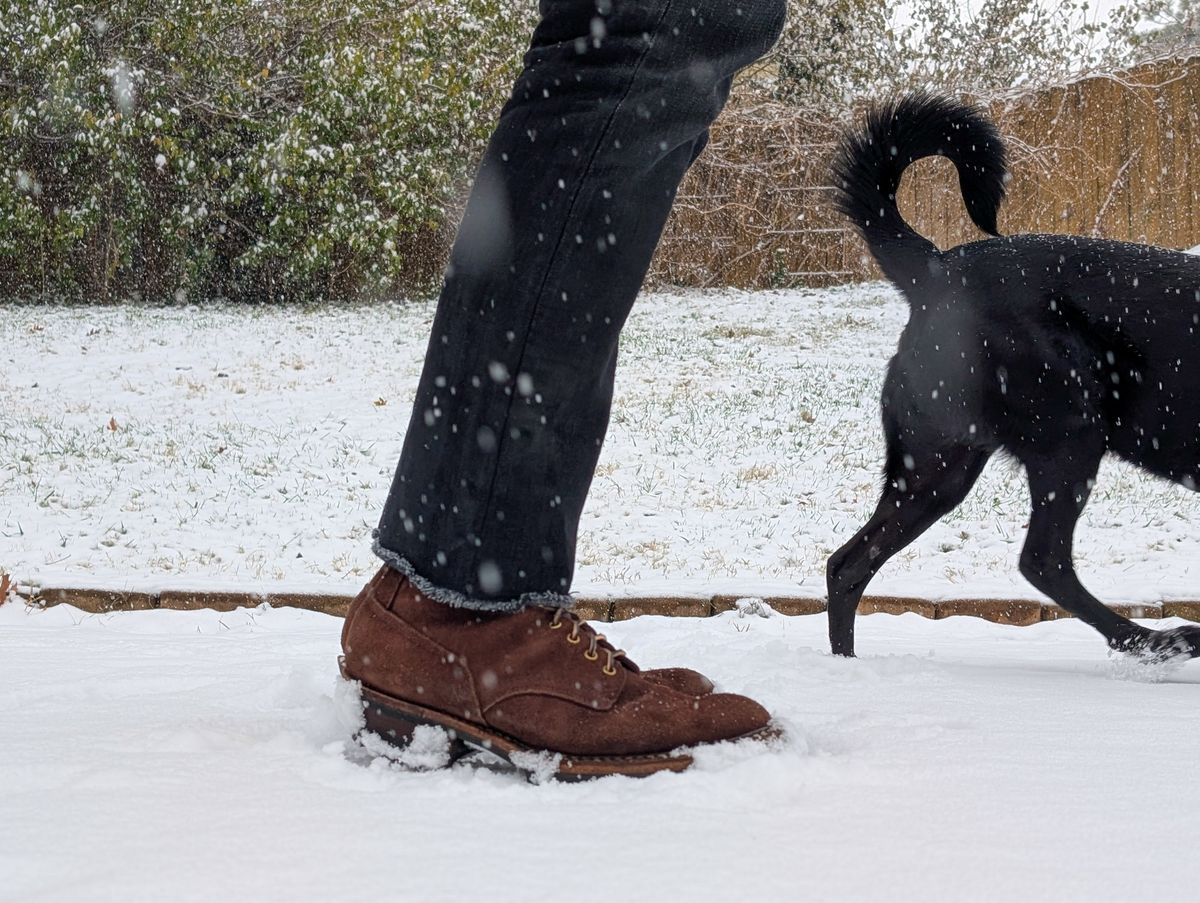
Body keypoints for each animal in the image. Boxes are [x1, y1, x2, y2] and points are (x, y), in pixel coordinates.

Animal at [825, 93, 1200, 662]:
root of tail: (937, 269)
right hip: (1069, 436)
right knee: (1044, 560)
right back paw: (1158, 640)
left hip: (938, 466)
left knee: (848, 564)